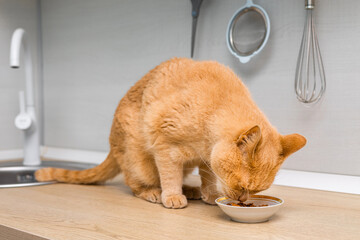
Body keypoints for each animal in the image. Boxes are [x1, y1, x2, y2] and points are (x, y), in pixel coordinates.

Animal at [35, 57, 306, 208]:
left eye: (256, 192)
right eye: (241, 186)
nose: (241, 201)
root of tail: (112, 144)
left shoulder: (205, 159)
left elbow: (208, 177)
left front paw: (208, 194)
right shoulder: (165, 147)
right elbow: (169, 176)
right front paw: (173, 196)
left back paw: (192, 190)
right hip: (138, 160)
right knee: (138, 183)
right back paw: (156, 193)